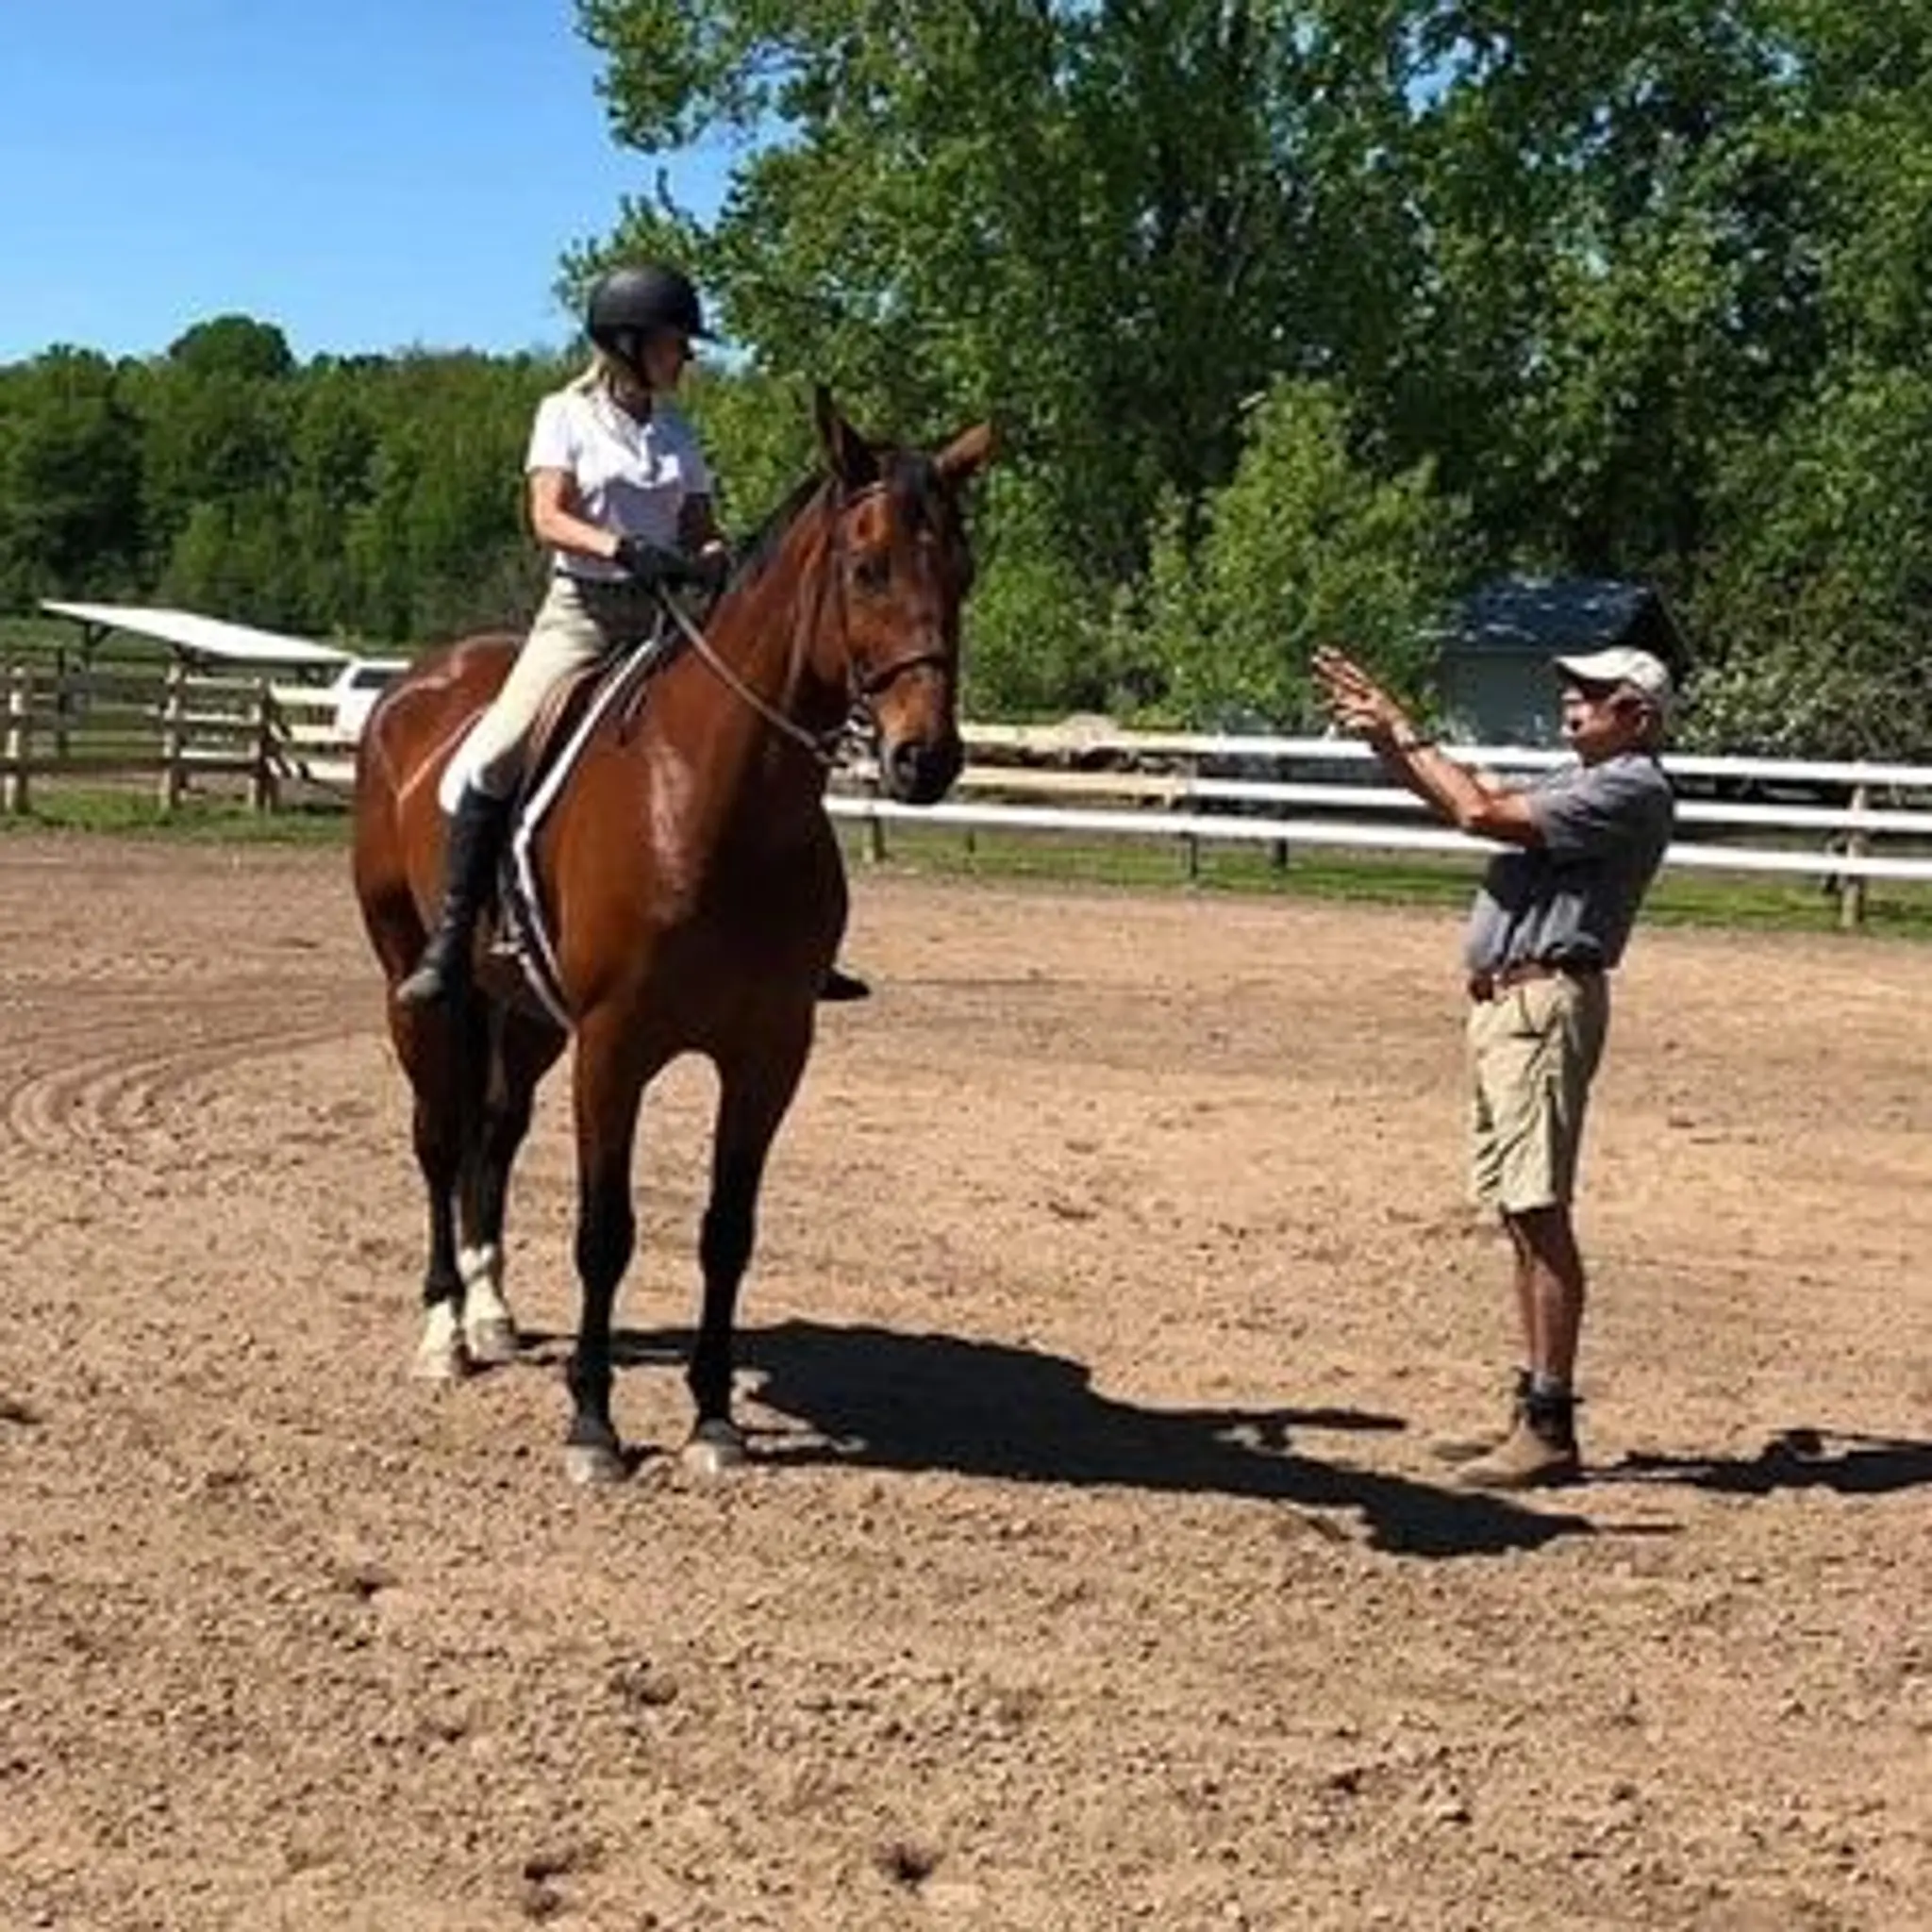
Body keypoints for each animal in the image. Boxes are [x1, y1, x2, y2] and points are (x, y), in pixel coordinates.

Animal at [350, 387, 993, 1484]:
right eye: (865, 567)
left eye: (962, 569)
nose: (926, 759)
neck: (710, 797)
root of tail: (414, 685)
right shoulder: (615, 1048)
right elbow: (605, 1230)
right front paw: (594, 1424)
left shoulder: (768, 1051)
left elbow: (727, 1229)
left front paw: (714, 1417)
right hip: (417, 988)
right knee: (438, 1137)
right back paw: (443, 1332)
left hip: (526, 1016)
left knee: (494, 1132)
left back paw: (491, 1310)